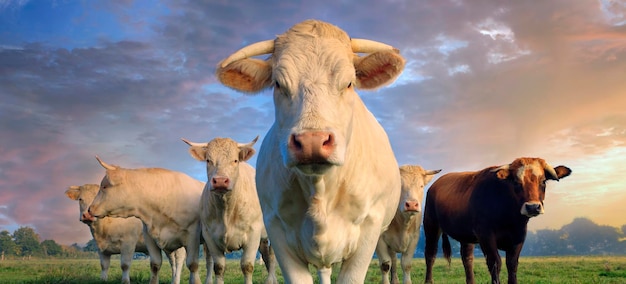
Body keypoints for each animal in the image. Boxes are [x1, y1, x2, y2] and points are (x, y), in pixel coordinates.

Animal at [87, 156, 207, 284]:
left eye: (104, 186)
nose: (89, 209)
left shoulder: (192, 234)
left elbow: (192, 264)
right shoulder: (149, 236)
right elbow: (155, 265)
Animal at [212, 18, 402, 282]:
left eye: (349, 83)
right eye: (278, 84)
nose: (313, 141)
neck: (320, 191)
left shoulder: (370, 228)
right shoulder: (276, 228)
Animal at [420, 158, 572, 284]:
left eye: (543, 181)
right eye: (516, 182)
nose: (533, 207)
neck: (510, 218)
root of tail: (435, 185)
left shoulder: (519, 236)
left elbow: (512, 264)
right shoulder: (486, 236)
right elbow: (495, 263)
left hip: (466, 235)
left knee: (467, 258)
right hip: (431, 225)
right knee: (430, 254)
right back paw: (428, 281)